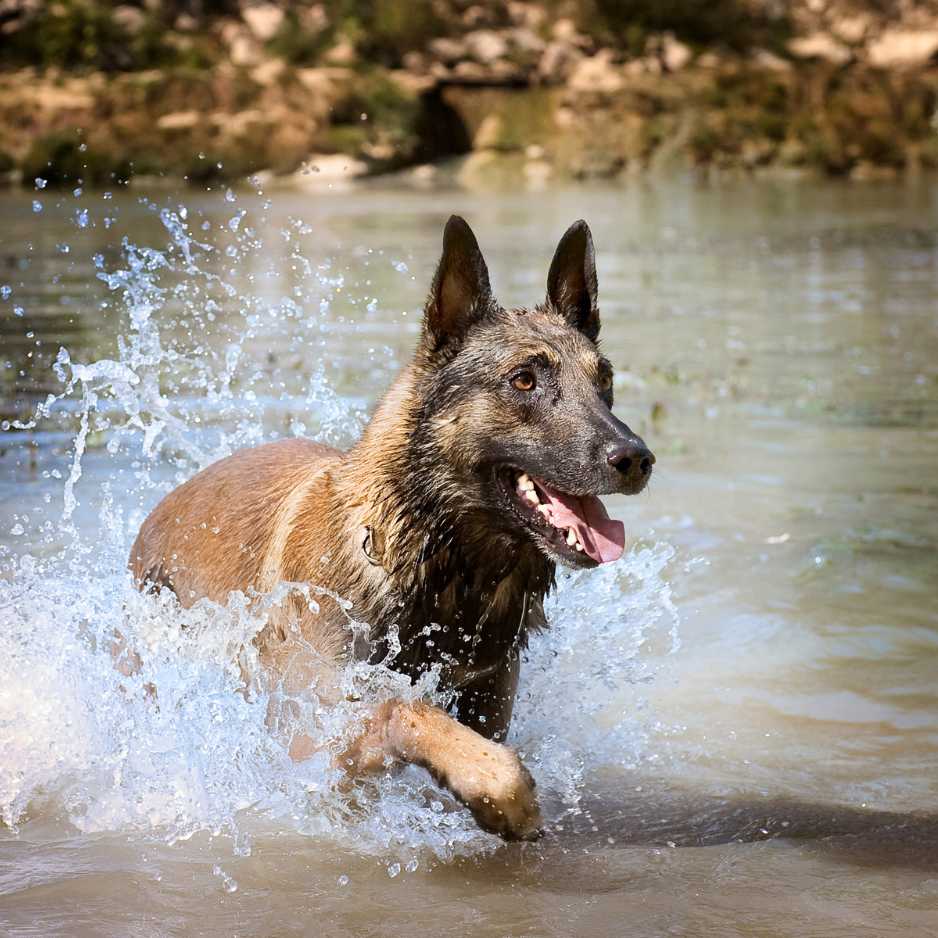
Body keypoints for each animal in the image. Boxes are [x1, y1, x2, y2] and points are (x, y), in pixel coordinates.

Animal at [128, 216, 656, 836]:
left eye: (605, 381)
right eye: (524, 380)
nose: (636, 458)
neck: (439, 563)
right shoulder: (309, 734)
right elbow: (405, 709)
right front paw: (498, 788)